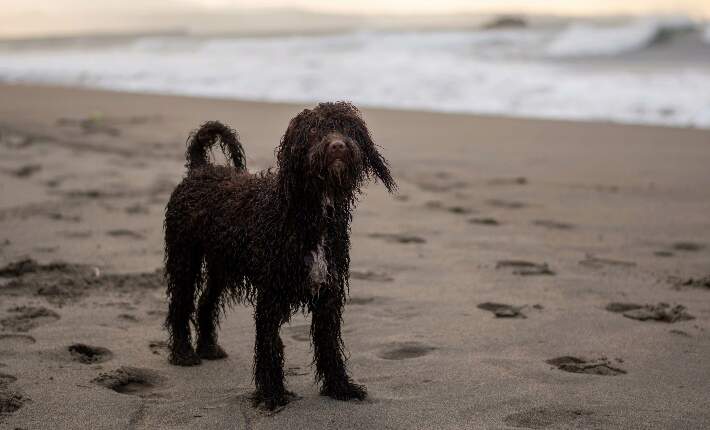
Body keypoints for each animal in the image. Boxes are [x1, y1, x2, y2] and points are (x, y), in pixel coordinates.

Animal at [165, 101, 398, 410]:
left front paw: (340, 386)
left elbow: (329, 345)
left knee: (206, 302)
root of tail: (200, 169)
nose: (337, 146)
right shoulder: (272, 294)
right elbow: (269, 346)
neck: (307, 211)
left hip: (221, 264)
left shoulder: (328, 292)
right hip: (184, 256)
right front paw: (272, 394)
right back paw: (182, 353)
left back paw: (209, 348)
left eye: (347, 128)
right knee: (180, 303)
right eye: (313, 131)